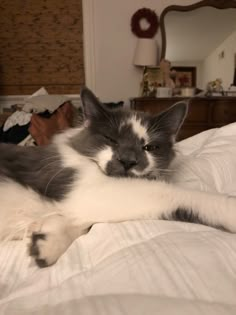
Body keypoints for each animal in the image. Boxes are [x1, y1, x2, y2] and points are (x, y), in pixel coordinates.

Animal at [0, 87, 236, 268]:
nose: (128, 161)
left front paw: (45, 242)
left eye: (149, 147)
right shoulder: (86, 188)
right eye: (111, 139)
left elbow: (79, 223)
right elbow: (176, 194)